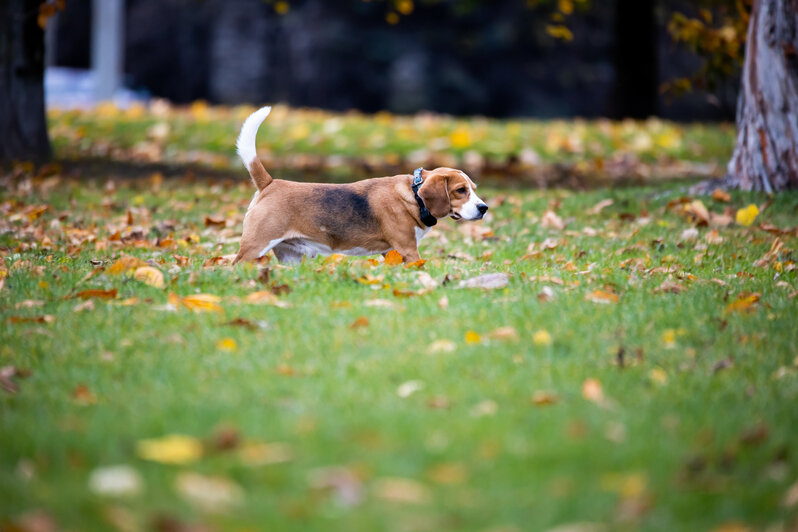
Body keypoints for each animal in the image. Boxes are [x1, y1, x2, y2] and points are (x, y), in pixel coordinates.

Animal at [234, 107, 488, 264]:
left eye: (473, 189)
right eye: (460, 191)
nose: (484, 208)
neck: (414, 196)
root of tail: (270, 183)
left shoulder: (392, 253)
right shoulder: (408, 250)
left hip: (291, 256)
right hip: (255, 246)